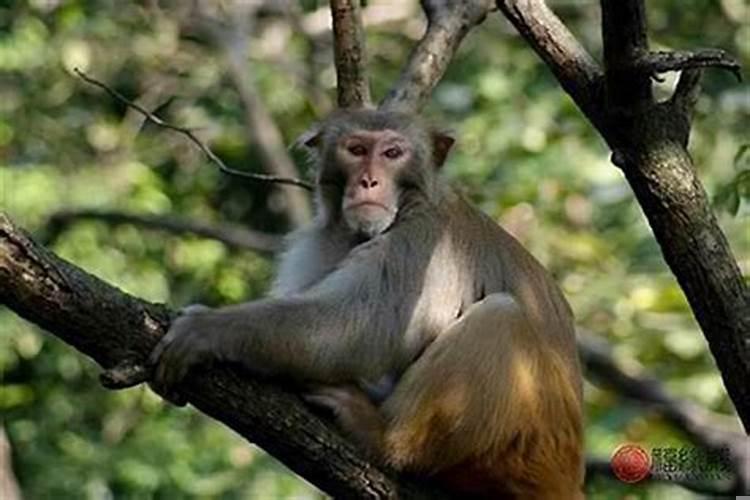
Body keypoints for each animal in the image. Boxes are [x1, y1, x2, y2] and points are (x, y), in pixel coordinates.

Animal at [150, 107, 584, 498]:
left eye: (393, 153)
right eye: (356, 149)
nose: (369, 180)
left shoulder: (425, 243)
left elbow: (359, 328)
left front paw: (207, 331)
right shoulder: (321, 241)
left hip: (524, 452)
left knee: (501, 316)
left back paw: (386, 440)